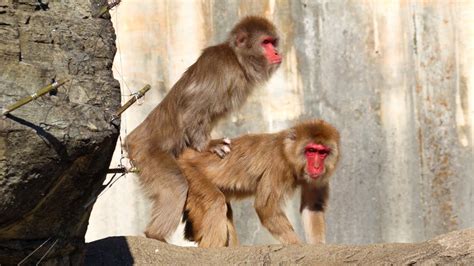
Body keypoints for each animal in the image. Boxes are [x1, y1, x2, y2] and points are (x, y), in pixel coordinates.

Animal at [124, 16, 284, 241]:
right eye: (266, 43)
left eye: (273, 42)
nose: (277, 52)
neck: (238, 60)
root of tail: (132, 138)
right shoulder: (223, 68)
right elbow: (192, 107)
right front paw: (207, 145)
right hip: (146, 153)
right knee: (176, 186)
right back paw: (154, 236)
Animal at [179, 119, 340, 248]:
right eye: (311, 150)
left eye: (322, 152)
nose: (317, 167)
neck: (288, 153)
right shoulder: (277, 166)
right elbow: (266, 207)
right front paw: (296, 245)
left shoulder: (318, 178)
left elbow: (312, 207)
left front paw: (318, 246)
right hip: (188, 173)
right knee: (215, 201)